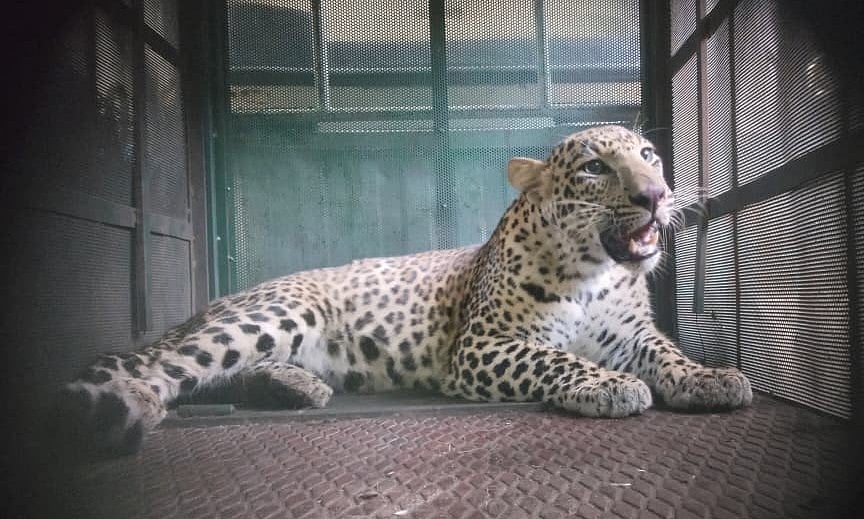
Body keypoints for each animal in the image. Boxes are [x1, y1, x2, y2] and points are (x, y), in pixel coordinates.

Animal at [58, 125, 752, 457]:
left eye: (649, 156)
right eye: (594, 168)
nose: (655, 195)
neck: (593, 270)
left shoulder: (631, 334)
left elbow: (666, 352)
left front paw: (710, 377)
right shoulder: (482, 345)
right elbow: (556, 358)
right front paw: (609, 386)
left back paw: (297, 387)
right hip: (275, 315)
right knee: (162, 367)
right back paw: (123, 410)